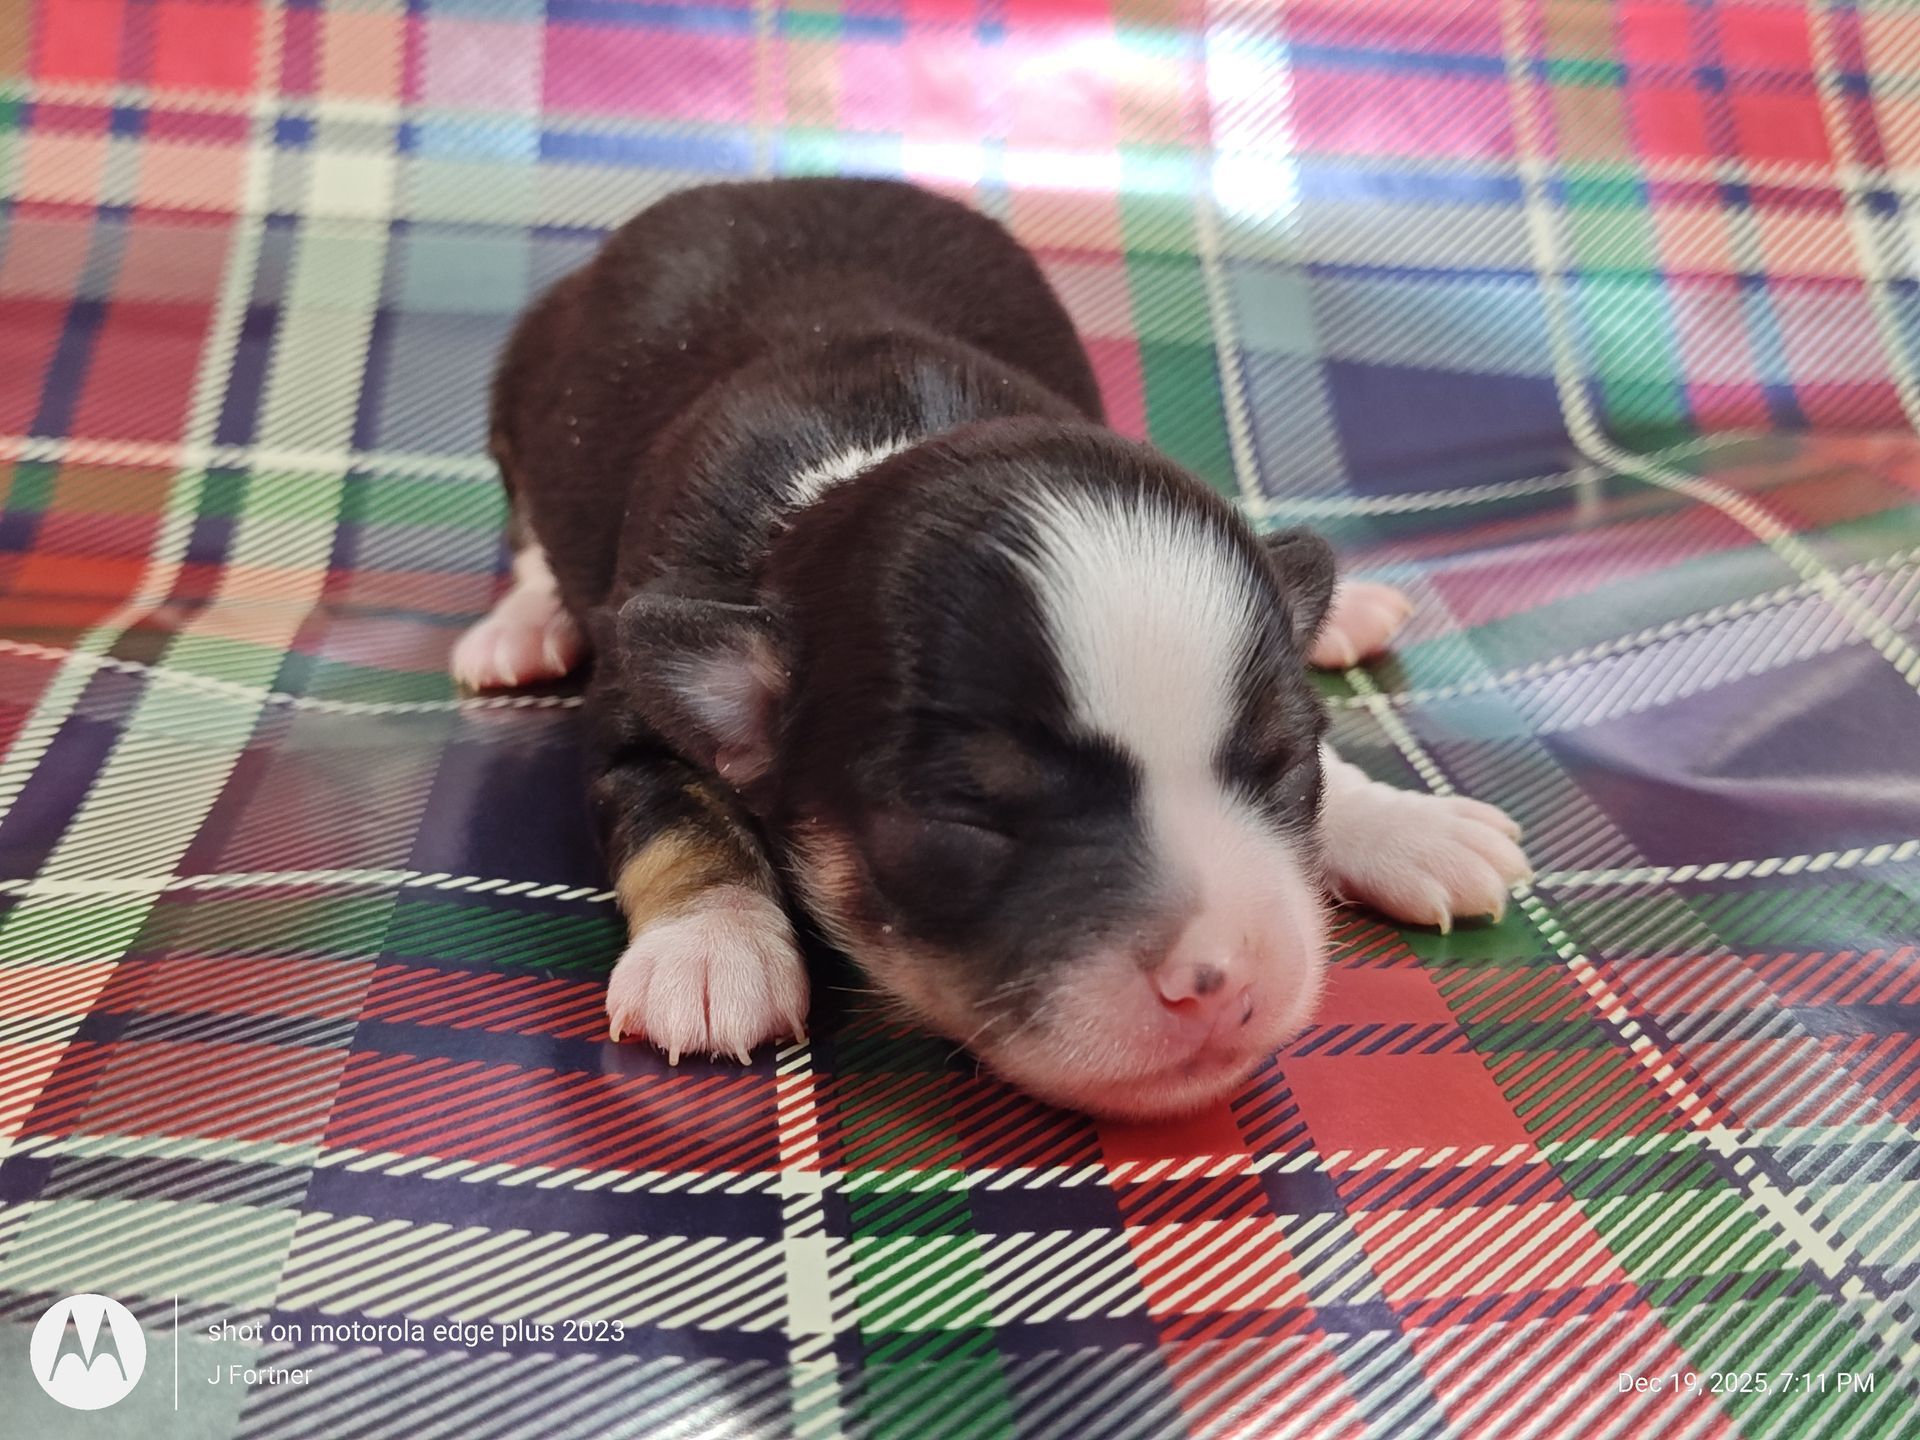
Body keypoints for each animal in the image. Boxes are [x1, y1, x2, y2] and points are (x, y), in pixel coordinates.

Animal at [452, 178, 1530, 1118]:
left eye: (1282, 765)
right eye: (967, 820)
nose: (1223, 980)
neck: (871, 444)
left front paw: (1401, 823)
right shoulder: (635, 699)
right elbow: (678, 814)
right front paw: (712, 950)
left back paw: (1341, 606)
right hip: (520, 400)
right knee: (532, 539)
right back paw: (520, 629)